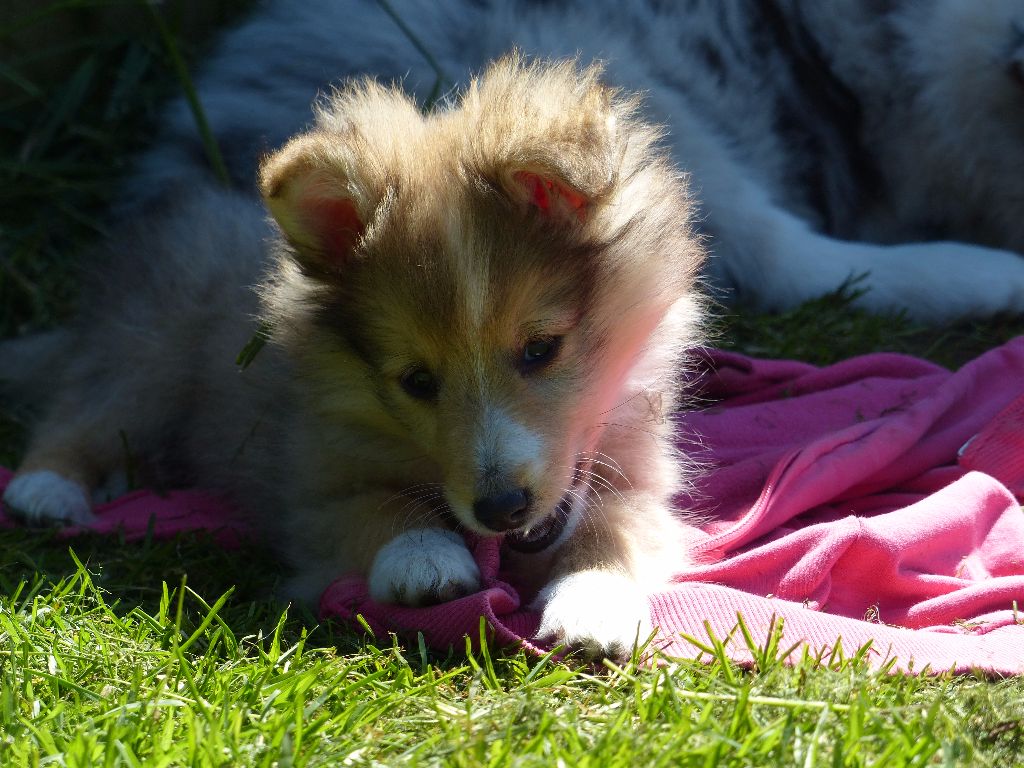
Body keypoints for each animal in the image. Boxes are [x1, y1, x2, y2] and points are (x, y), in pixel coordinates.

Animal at [2, 57, 704, 659]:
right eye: (417, 380)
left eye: (540, 348)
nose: (501, 510)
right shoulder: (313, 484)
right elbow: (374, 508)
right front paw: (423, 558)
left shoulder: (643, 481)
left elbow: (609, 528)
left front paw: (595, 605)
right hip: (142, 357)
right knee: (80, 416)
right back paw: (47, 491)